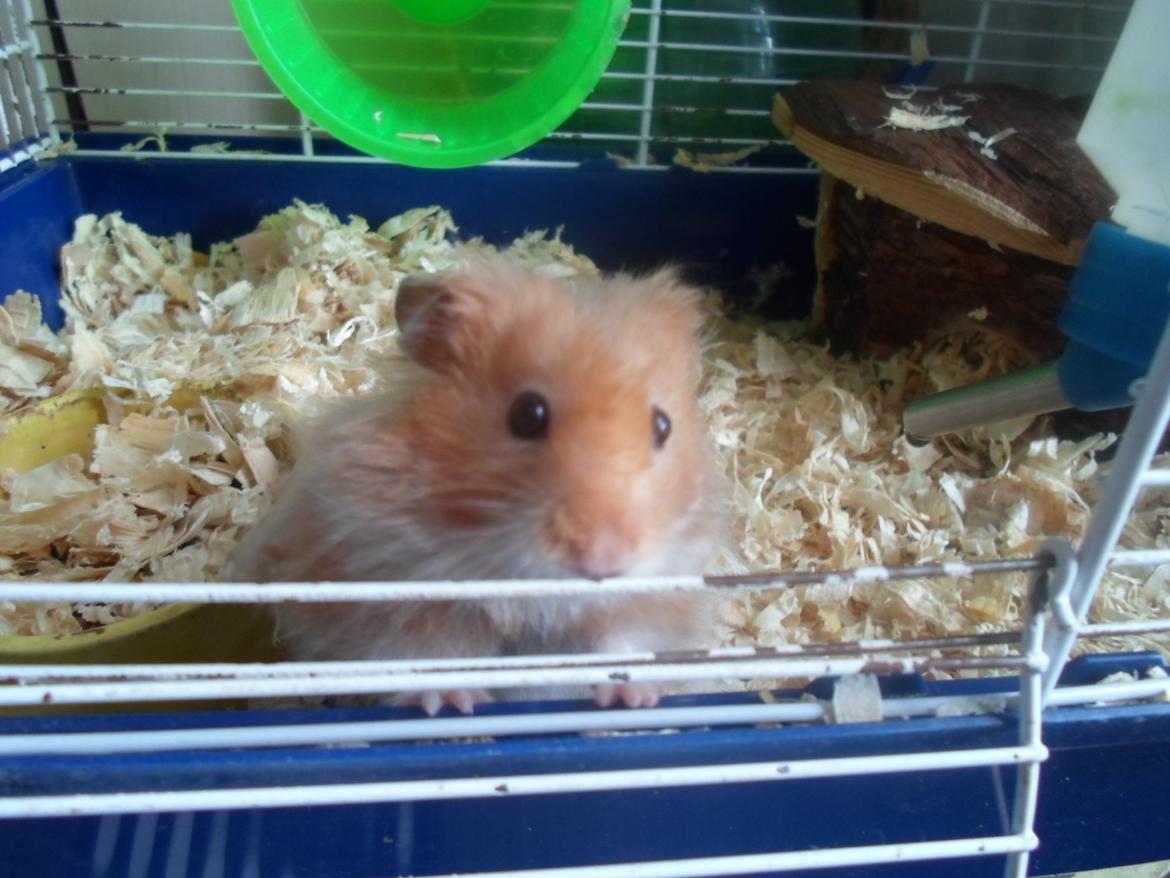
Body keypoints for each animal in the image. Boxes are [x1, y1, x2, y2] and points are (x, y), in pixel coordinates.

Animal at [228, 257, 726, 715]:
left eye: (663, 425)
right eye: (527, 415)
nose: (605, 561)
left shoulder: (651, 597)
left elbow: (624, 644)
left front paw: (637, 698)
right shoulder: (392, 598)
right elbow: (423, 655)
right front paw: (453, 702)